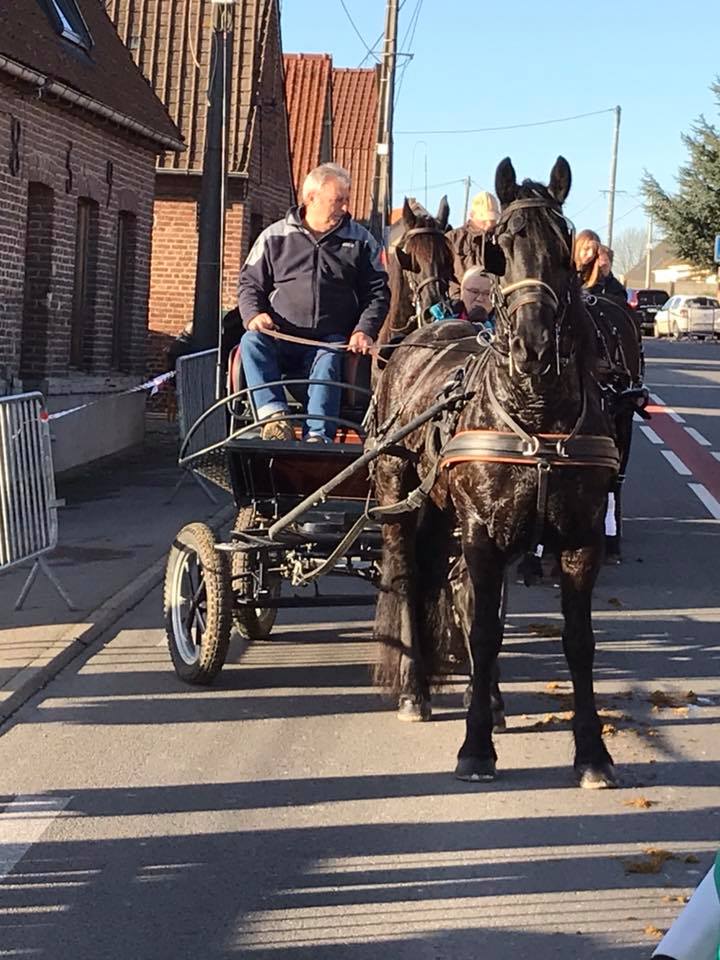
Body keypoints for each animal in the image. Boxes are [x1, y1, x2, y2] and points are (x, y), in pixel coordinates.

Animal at [372, 156, 620, 788]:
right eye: (499, 250)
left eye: (564, 249)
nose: (533, 345)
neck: (537, 419)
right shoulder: (483, 532)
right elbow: (485, 632)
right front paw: (476, 746)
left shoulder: (581, 538)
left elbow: (578, 641)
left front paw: (592, 753)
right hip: (397, 493)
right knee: (410, 578)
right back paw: (414, 692)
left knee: (450, 584)